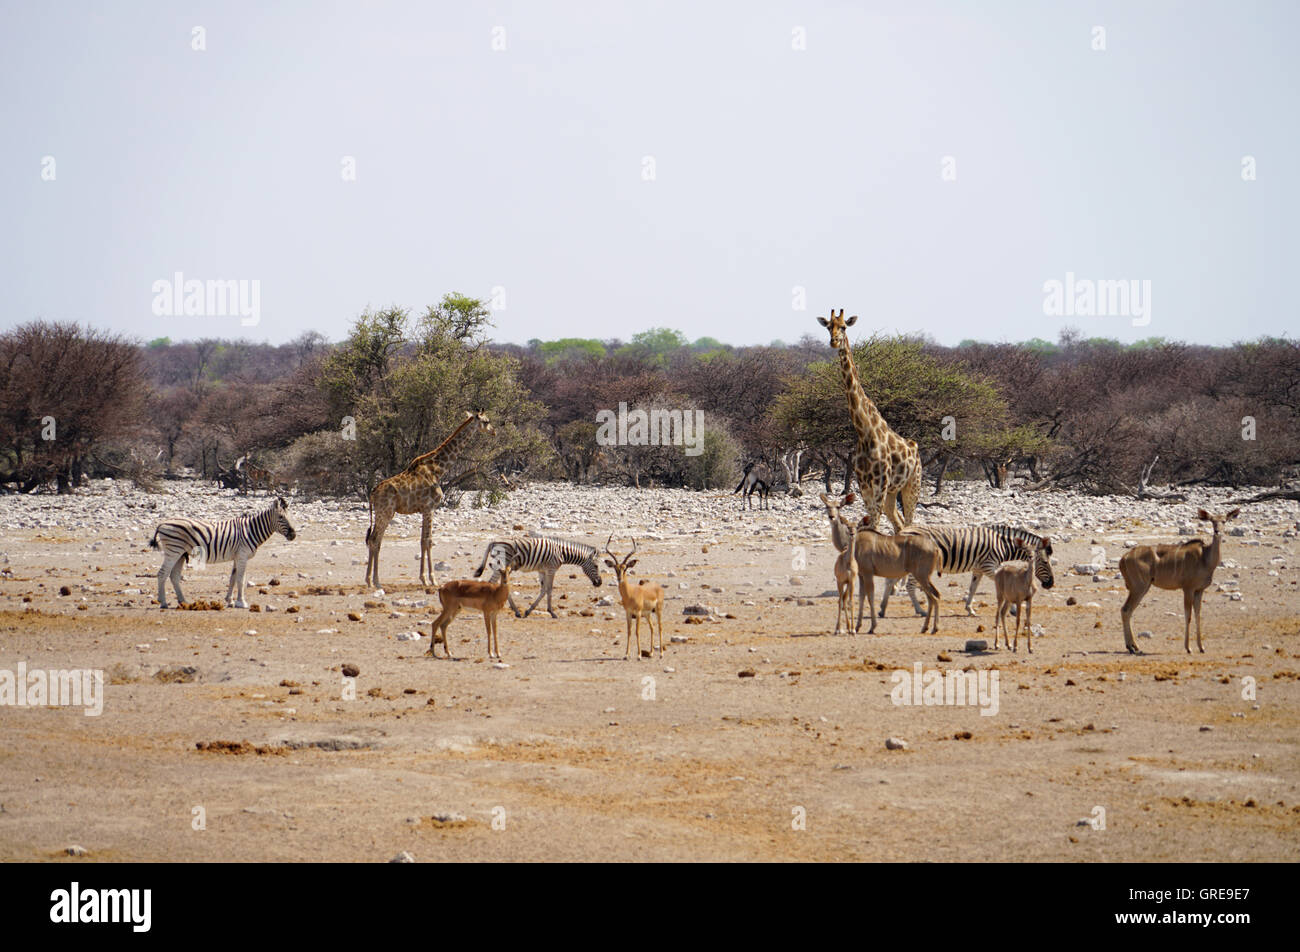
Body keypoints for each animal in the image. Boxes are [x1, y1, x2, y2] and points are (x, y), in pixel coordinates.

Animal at [149, 494, 297, 606]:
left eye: (290, 517)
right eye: (281, 517)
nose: (293, 535)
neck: (251, 530)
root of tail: (162, 523)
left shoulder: (237, 556)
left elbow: (233, 578)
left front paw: (230, 601)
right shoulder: (242, 556)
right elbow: (241, 579)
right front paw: (242, 603)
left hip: (180, 554)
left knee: (174, 576)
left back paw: (183, 601)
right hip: (173, 551)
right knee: (162, 574)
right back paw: (163, 603)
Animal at [364, 413, 493, 590]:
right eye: (486, 421)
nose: (493, 431)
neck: (437, 470)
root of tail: (372, 494)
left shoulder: (425, 510)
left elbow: (422, 541)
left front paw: (425, 578)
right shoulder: (429, 508)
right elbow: (428, 541)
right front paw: (430, 579)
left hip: (381, 513)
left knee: (373, 540)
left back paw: (370, 581)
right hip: (386, 513)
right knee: (375, 540)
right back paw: (376, 581)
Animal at [473, 530, 603, 621]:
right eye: (596, 566)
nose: (600, 583)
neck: (562, 553)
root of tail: (493, 541)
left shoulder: (542, 571)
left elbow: (543, 589)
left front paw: (528, 611)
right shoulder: (551, 569)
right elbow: (549, 589)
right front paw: (552, 612)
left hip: (504, 567)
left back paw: (517, 611)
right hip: (502, 563)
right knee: (492, 581)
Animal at [811, 312, 925, 535]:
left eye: (844, 326)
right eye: (828, 327)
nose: (834, 341)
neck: (864, 431)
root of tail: (915, 448)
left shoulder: (880, 483)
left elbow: (874, 525)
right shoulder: (864, 484)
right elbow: (872, 523)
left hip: (912, 484)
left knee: (908, 522)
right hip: (893, 491)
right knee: (898, 524)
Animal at [883, 528, 1055, 616]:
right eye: (1045, 562)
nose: (1050, 584)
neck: (1001, 545)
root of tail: (902, 531)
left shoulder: (979, 569)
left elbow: (973, 588)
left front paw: (970, 609)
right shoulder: (989, 567)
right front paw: (1012, 609)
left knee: (890, 580)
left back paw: (882, 609)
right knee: (909, 586)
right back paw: (920, 610)